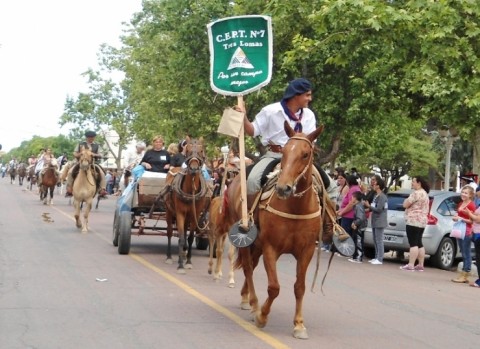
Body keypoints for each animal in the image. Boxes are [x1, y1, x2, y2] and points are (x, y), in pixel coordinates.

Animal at [163, 137, 208, 274]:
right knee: (170, 232)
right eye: (187, 150)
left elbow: (190, 237)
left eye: (201, 150)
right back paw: (169, 256)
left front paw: (188, 261)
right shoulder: (180, 213)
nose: (193, 168)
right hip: (169, 212)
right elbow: (182, 237)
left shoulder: (195, 214)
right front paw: (180, 265)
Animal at [228, 121, 332, 338]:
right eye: (283, 152)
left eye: (305, 154)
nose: (284, 188)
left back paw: (246, 299)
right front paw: (262, 316)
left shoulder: (307, 251)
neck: (295, 207)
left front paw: (299, 324)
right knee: (248, 268)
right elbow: (274, 287)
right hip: (247, 240)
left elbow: (299, 287)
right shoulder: (271, 248)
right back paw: (253, 304)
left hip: (257, 246)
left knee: (252, 265)